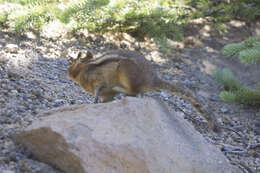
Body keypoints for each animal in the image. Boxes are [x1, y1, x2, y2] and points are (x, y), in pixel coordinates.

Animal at [67, 49, 219, 132]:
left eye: (72, 63)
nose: (67, 72)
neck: (85, 69)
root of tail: (152, 80)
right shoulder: (107, 95)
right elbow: (105, 99)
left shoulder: (98, 81)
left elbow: (97, 91)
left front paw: (93, 100)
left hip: (126, 73)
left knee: (134, 92)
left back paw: (121, 88)